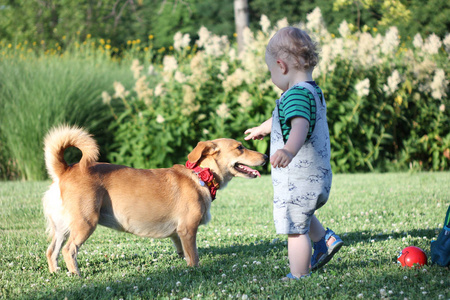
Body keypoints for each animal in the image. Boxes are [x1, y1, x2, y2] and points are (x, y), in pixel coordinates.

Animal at [42, 125, 268, 276]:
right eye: (240, 147)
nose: (266, 157)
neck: (201, 175)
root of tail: (65, 170)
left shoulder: (178, 234)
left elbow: (183, 252)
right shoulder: (188, 230)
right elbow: (194, 257)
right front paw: (195, 270)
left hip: (63, 227)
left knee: (52, 250)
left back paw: (55, 272)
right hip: (85, 222)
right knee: (68, 250)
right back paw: (76, 274)